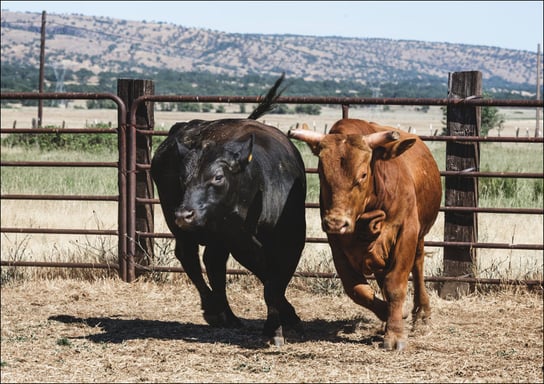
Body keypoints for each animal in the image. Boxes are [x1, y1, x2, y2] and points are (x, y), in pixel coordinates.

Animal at [151, 81, 308, 344]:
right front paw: (276, 328)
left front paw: (282, 322)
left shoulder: (293, 240)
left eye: (217, 177)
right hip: (180, 224)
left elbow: (274, 281)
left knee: (213, 262)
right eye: (183, 178)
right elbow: (269, 281)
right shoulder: (240, 241)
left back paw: (229, 315)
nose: (184, 214)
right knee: (190, 258)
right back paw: (214, 310)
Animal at [288, 119, 442, 352]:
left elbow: (395, 285)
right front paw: (390, 315)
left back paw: (422, 314)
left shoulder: (406, 232)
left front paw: (395, 333)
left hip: (419, 236)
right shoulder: (337, 245)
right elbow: (357, 289)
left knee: (417, 265)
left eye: (362, 175)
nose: (336, 222)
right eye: (322, 174)